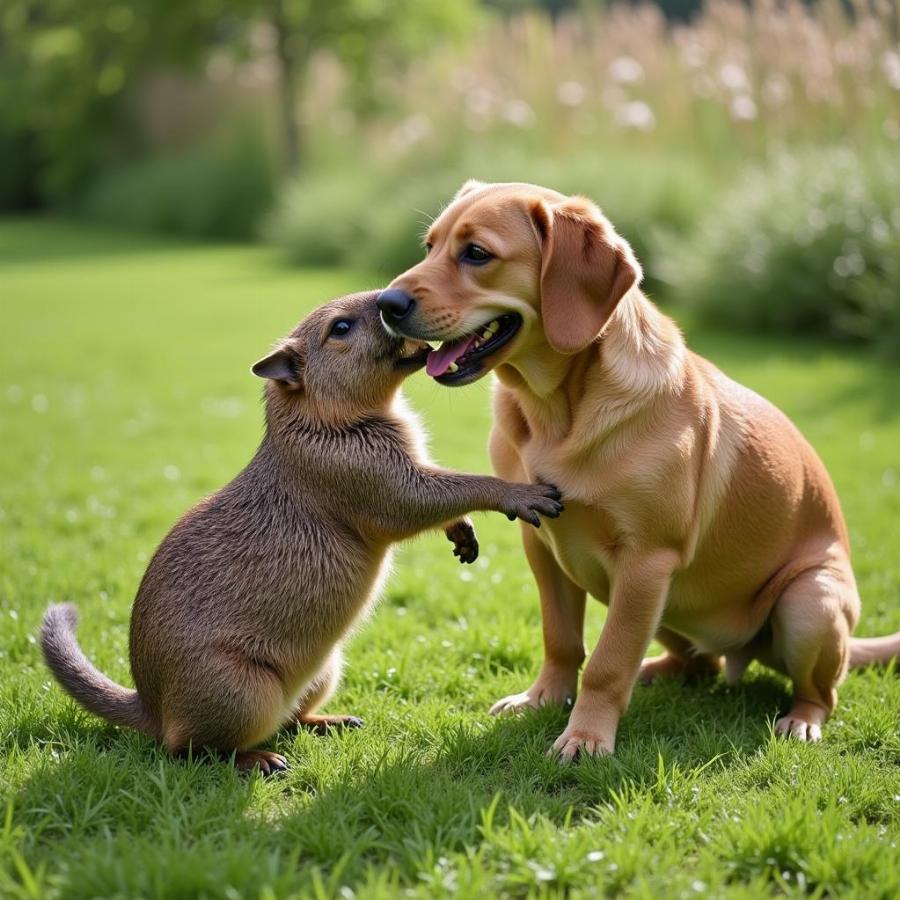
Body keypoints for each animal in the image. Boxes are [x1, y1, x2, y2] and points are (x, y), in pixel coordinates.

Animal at [378, 181, 900, 760]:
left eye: (476, 254)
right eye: (429, 247)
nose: (385, 304)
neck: (556, 411)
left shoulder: (646, 560)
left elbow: (606, 663)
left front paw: (585, 737)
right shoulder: (543, 544)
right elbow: (562, 640)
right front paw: (542, 699)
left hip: (806, 603)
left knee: (820, 691)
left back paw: (801, 721)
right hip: (670, 605)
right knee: (699, 662)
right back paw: (655, 671)